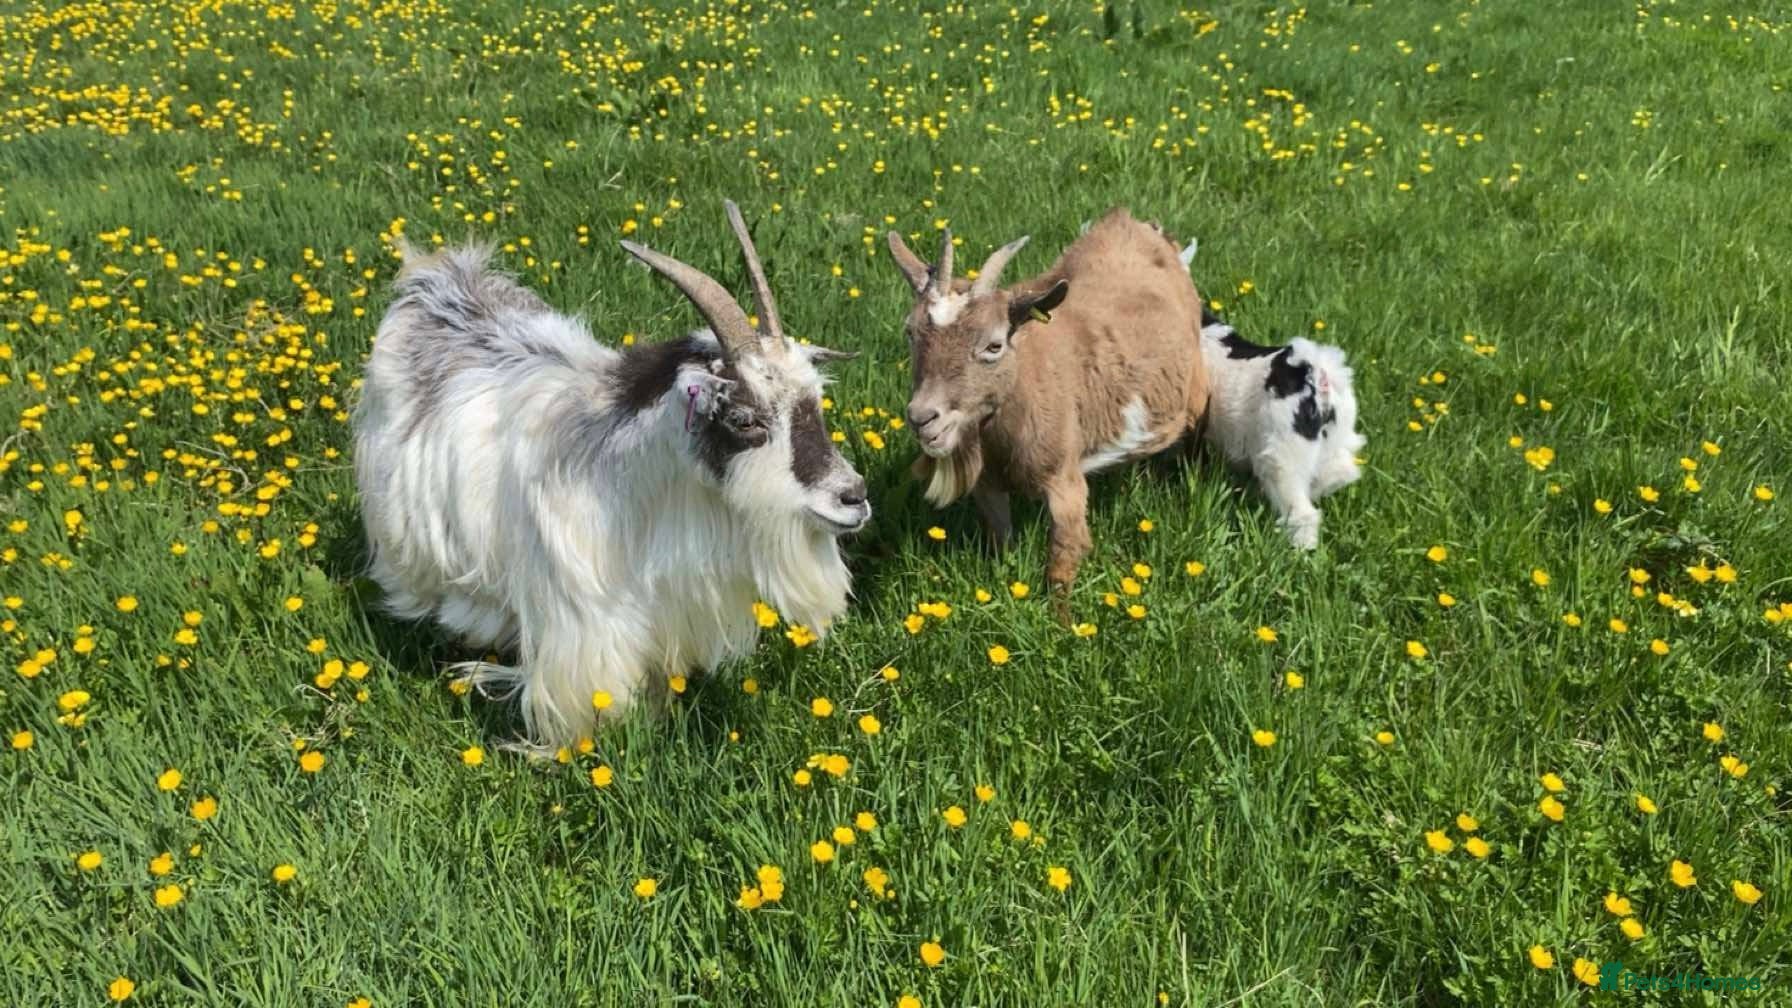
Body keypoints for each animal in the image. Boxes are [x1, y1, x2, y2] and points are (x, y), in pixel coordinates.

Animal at [886, 208, 1209, 594]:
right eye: (910, 331)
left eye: (994, 345)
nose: (922, 417)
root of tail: (1132, 223)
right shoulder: (987, 483)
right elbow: (1000, 540)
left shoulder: (1064, 480)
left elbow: (1061, 564)